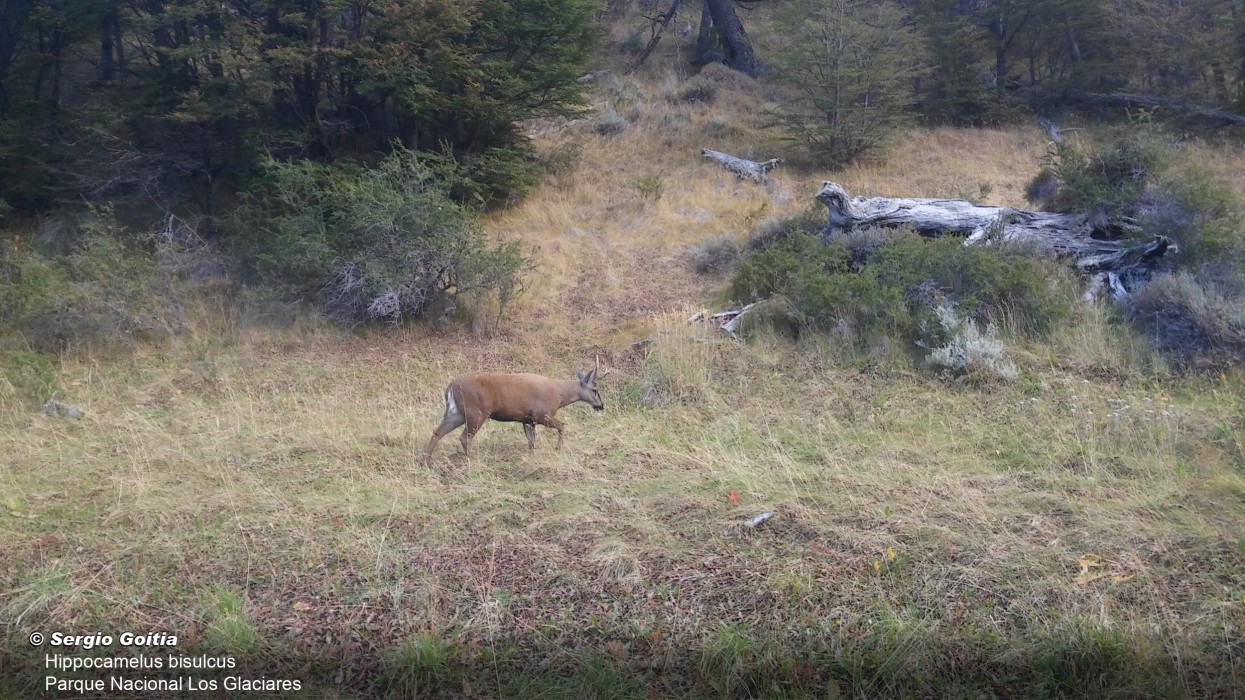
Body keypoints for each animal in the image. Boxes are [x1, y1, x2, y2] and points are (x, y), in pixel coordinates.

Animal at [424, 357, 607, 459]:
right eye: (594, 389)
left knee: (437, 431)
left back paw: (426, 458)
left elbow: (531, 442)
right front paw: (558, 448)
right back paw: (470, 458)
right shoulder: (542, 414)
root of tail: (450, 387)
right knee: (464, 437)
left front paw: (532, 457)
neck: (560, 395)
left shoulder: (527, 420)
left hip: (456, 413)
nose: (601, 406)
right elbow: (562, 426)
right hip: (476, 412)